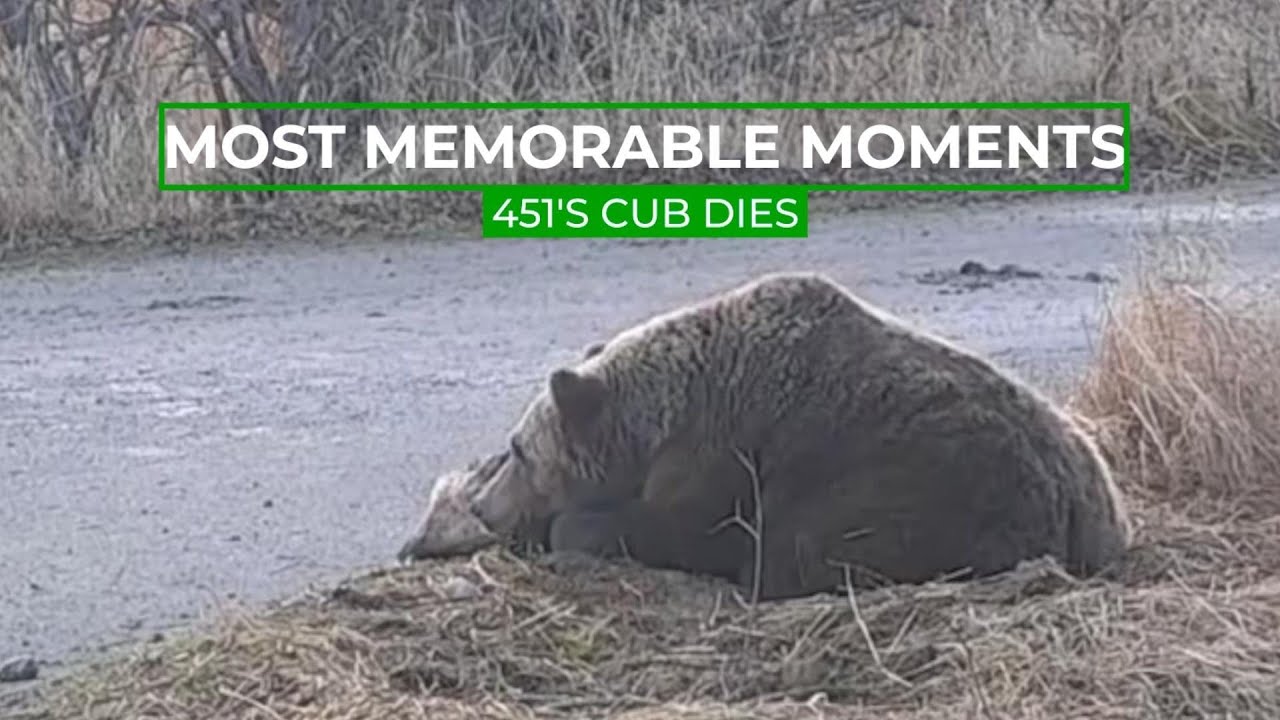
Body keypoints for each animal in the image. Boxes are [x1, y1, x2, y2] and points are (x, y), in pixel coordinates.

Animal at [467, 271, 1131, 599]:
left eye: (517, 449)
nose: (480, 505)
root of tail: (1097, 506)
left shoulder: (726, 459)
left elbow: (686, 530)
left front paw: (573, 529)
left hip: (938, 487)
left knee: (800, 551)